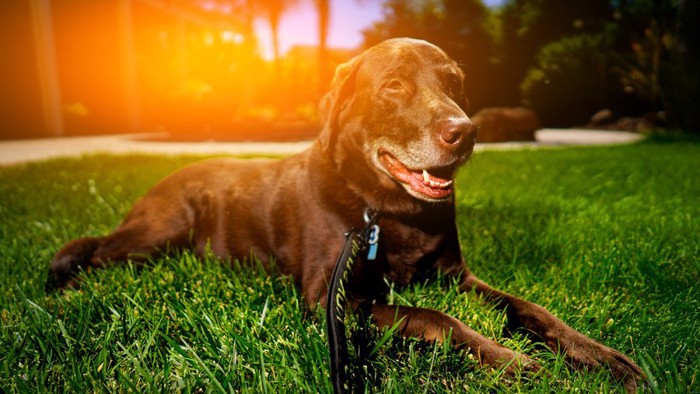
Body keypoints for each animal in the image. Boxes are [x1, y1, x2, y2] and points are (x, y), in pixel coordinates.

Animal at [46, 37, 644, 390]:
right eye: (395, 85)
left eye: (453, 83)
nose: (466, 131)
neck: (387, 211)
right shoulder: (329, 298)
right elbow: (436, 317)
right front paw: (514, 361)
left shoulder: (455, 274)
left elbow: (528, 307)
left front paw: (600, 357)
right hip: (158, 230)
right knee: (94, 254)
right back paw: (66, 295)